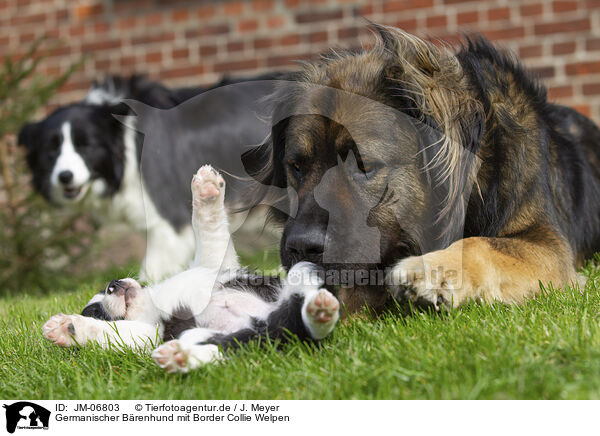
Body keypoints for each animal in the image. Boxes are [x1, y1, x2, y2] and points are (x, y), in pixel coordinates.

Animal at [19, 74, 278, 282]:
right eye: (51, 150)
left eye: (86, 146)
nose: (65, 176)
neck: (125, 141)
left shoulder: (168, 217)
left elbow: (154, 265)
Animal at [42, 164, 340, 372]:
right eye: (97, 312)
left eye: (107, 288)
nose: (113, 284)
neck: (150, 303)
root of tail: (270, 325)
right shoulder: (152, 335)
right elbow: (112, 333)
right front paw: (69, 328)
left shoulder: (214, 264)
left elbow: (208, 229)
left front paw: (206, 189)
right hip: (232, 339)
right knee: (224, 349)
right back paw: (180, 357)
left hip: (299, 275)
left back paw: (319, 308)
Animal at [243, 26, 600, 314]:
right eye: (296, 167)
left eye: (363, 166)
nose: (302, 247)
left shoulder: (548, 245)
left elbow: (482, 244)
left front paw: (431, 270)